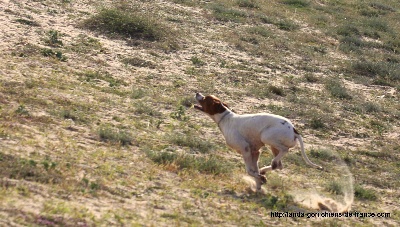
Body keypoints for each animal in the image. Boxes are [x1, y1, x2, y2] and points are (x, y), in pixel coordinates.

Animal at [194, 92, 322, 190]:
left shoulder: (245, 150)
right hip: (272, 146)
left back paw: (270, 165)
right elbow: (254, 171)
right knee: (279, 165)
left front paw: (260, 179)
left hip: (266, 137)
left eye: (205, 99)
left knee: (284, 151)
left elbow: (249, 171)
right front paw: (259, 183)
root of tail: (294, 129)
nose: (197, 93)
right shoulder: (255, 152)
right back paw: (265, 169)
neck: (226, 118)